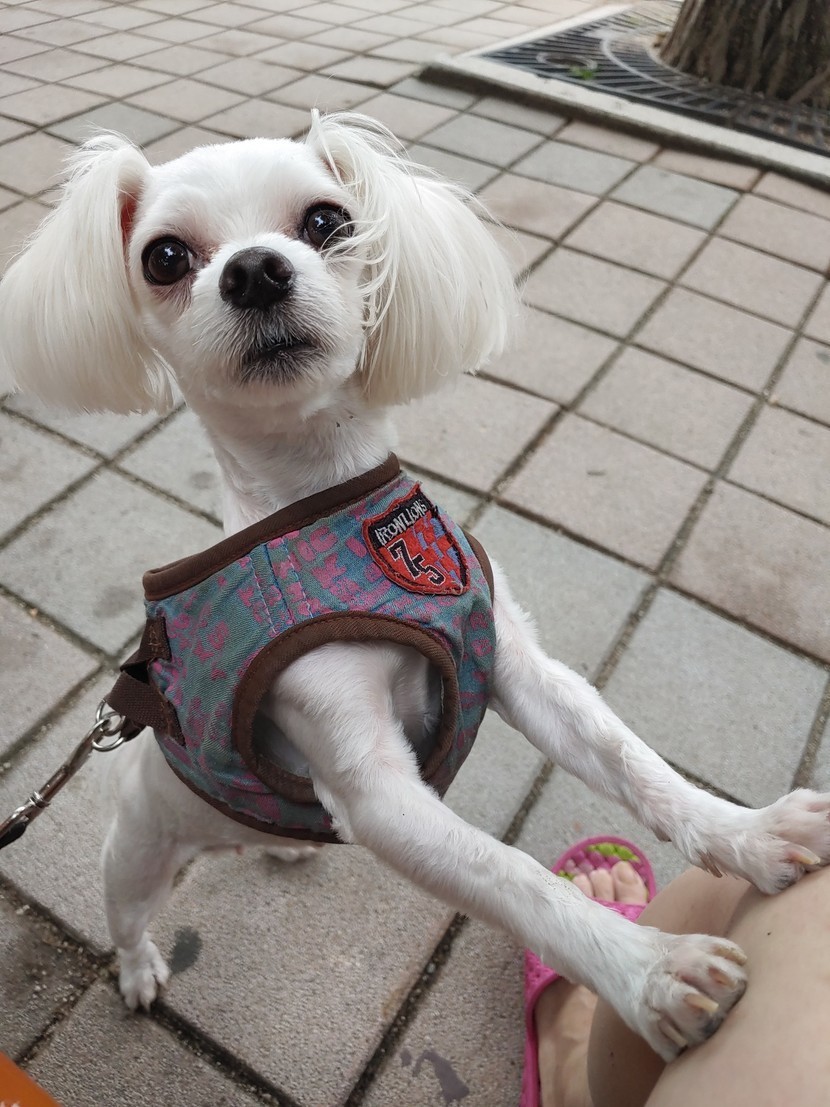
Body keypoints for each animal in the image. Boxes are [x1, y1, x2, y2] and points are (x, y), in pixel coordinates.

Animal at [1, 112, 828, 1063]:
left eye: (327, 221)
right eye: (165, 257)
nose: (254, 269)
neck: (329, 504)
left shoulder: (514, 665)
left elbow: (632, 762)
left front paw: (752, 832)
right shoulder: (376, 788)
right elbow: (514, 877)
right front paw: (654, 971)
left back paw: (283, 848)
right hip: (134, 854)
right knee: (126, 920)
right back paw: (139, 973)